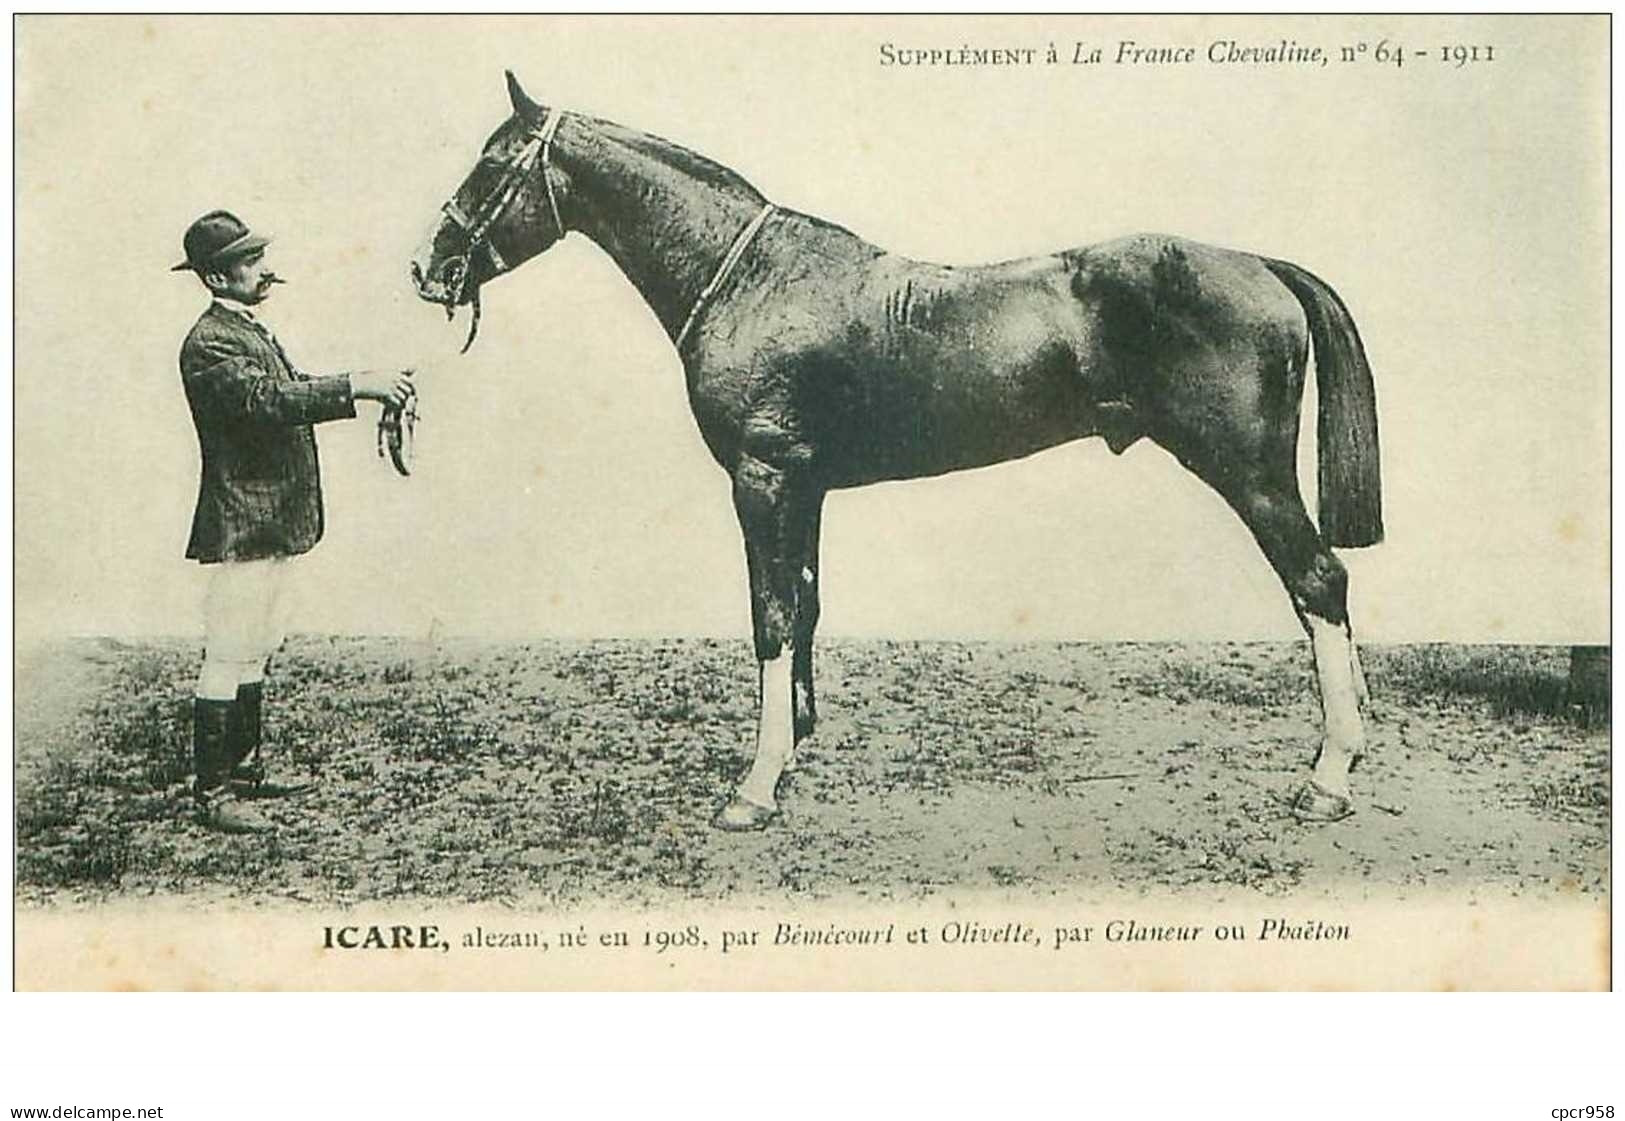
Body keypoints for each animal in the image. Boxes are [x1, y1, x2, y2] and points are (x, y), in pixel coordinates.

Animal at [409, 74, 1384, 828]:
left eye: (493, 164)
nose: (427, 267)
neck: (748, 279)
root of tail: (1259, 265)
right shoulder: (803, 488)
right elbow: (803, 605)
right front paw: (793, 750)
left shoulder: (762, 479)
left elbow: (768, 616)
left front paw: (753, 787)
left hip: (1249, 474)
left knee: (1318, 581)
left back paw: (1328, 776)